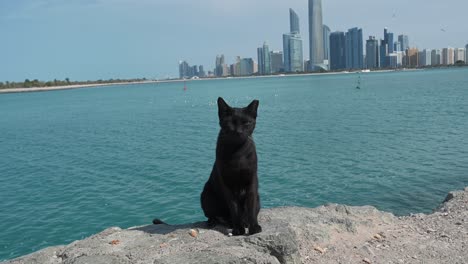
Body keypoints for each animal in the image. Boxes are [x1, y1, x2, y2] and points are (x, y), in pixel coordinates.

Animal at [199, 96, 262, 235]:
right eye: (230, 123)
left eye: (246, 123)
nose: (238, 131)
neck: (237, 153)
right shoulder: (227, 183)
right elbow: (234, 207)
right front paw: (238, 229)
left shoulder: (251, 181)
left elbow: (251, 206)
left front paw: (253, 227)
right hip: (206, 194)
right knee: (213, 215)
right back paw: (217, 222)